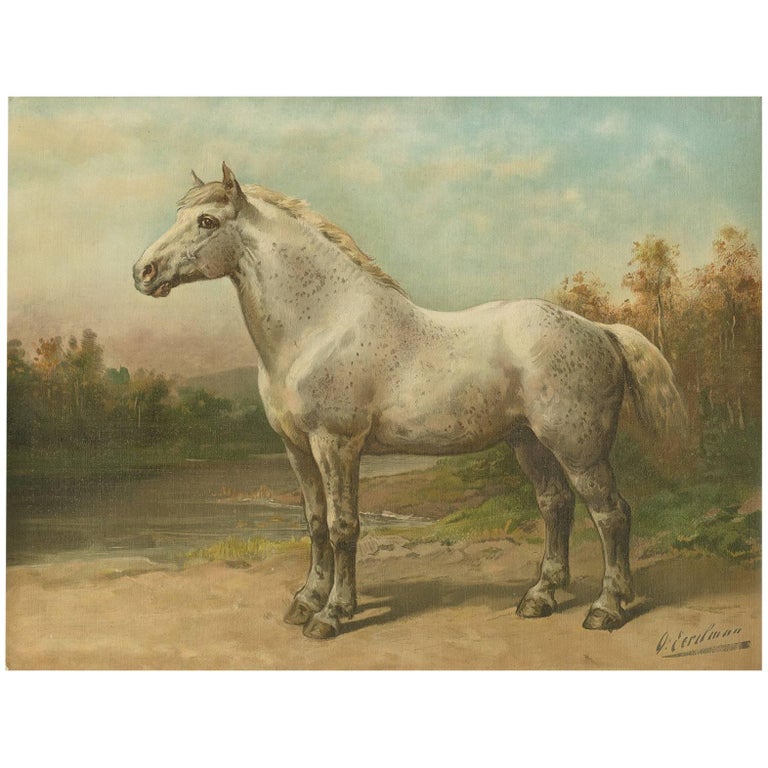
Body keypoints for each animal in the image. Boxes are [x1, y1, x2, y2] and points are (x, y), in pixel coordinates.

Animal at [133, 163, 686, 639]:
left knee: (611, 514)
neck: (321, 325)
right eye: (179, 217)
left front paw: (333, 614)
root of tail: (599, 330)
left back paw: (607, 608)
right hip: (529, 443)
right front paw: (305, 600)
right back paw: (540, 596)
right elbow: (312, 524)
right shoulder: (296, 449)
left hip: (579, 449)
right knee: (556, 505)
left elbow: (342, 527)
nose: (144, 271)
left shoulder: (337, 445)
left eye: (206, 221)